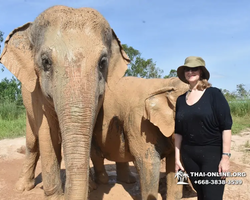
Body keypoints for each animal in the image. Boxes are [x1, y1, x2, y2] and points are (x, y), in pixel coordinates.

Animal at [0, 5, 129, 200]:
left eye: (102, 62)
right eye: (45, 62)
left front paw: (91, 188)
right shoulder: (36, 93)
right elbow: (48, 133)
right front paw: (54, 196)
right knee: (32, 143)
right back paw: (23, 187)